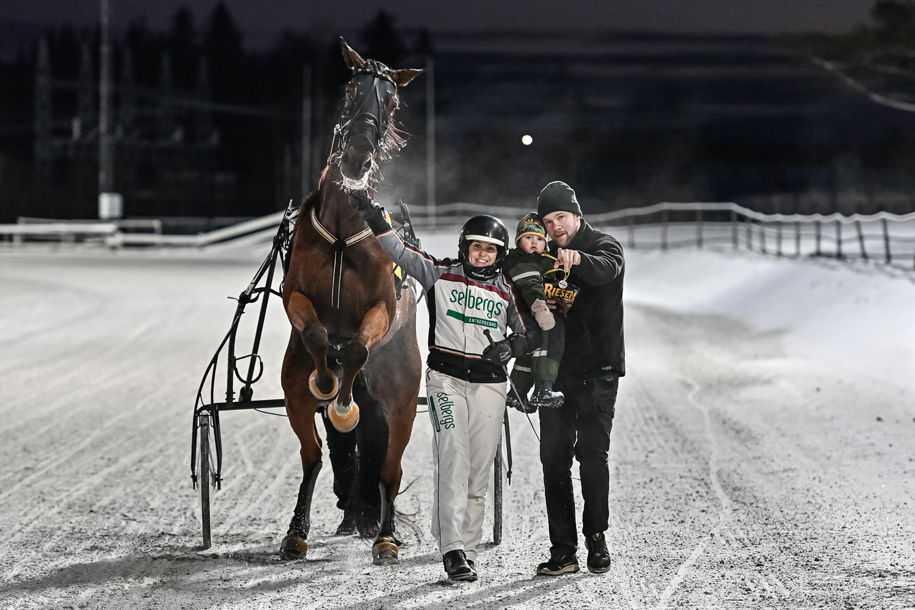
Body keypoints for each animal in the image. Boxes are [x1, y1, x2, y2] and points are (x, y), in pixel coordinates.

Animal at [279, 38, 423, 565]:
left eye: (393, 102)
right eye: (351, 89)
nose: (358, 154)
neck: (343, 228)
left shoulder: (383, 306)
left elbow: (359, 345)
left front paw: (342, 396)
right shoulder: (296, 295)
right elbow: (317, 331)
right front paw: (328, 379)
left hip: (402, 396)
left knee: (389, 468)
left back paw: (385, 536)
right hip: (291, 388)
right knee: (313, 456)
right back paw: (296, 532)